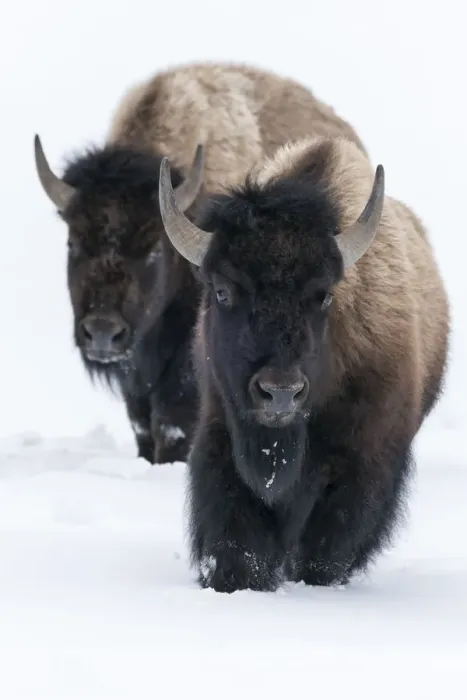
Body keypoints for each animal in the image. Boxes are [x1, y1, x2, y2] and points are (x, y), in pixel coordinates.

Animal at [159, 135, 450, 592]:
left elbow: (326, 548)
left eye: (325, 295)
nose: (280, 392)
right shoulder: (221, 433)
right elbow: (236, 538)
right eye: (222, 291)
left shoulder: (363, 462)